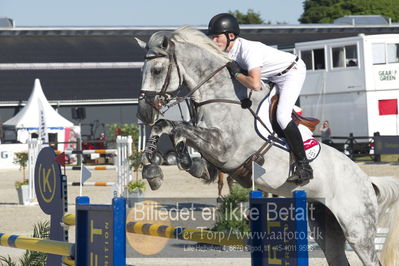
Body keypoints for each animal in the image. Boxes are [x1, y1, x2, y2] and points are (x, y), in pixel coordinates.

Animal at [136, 26, 399, 264]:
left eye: (157, 70)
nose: (143, 113)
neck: (222, 97)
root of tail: (368, 181)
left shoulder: (226, 149)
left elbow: (179, 130)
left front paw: (177, 163)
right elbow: (165, 126)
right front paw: (154, 170)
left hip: (357, 230)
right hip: (327, 226)